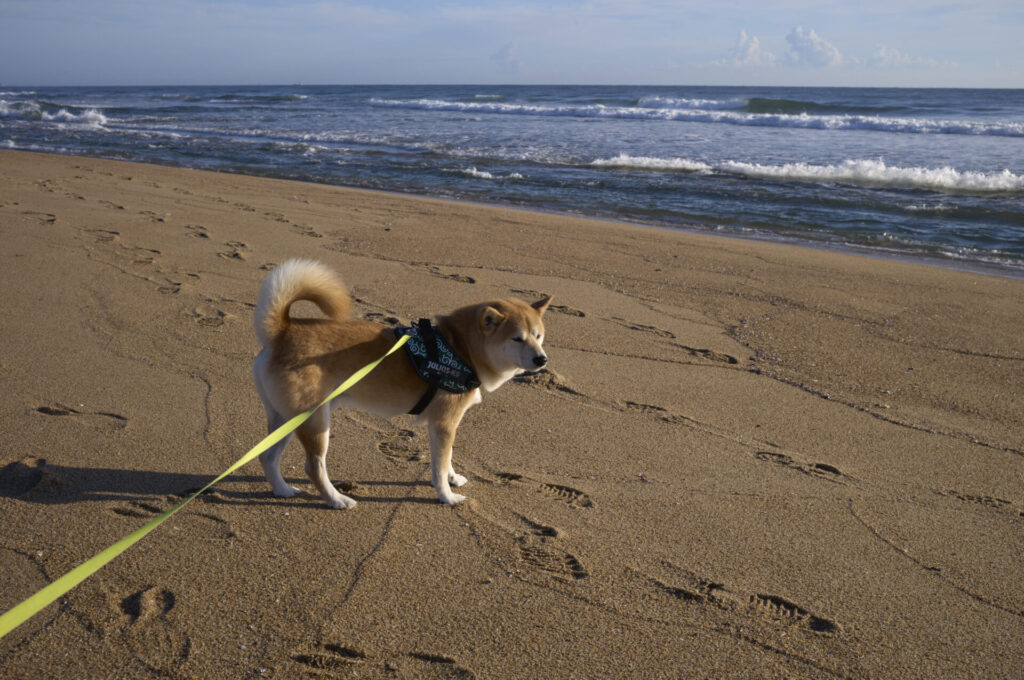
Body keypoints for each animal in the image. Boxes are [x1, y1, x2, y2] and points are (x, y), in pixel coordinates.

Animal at [249, 258, 552, 507]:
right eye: (517, 338)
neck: (460, 349)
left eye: (538, 336)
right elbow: (439, 466)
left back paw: (282, 490)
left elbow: (447, 459)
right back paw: (337, 500)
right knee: (313, 466)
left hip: (288, 419)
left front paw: (452, 478)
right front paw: (447, 496)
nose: (542, 360)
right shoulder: (444, 422)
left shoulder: (444, 425)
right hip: (314, 422)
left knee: (267, 456)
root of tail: (283, 332)